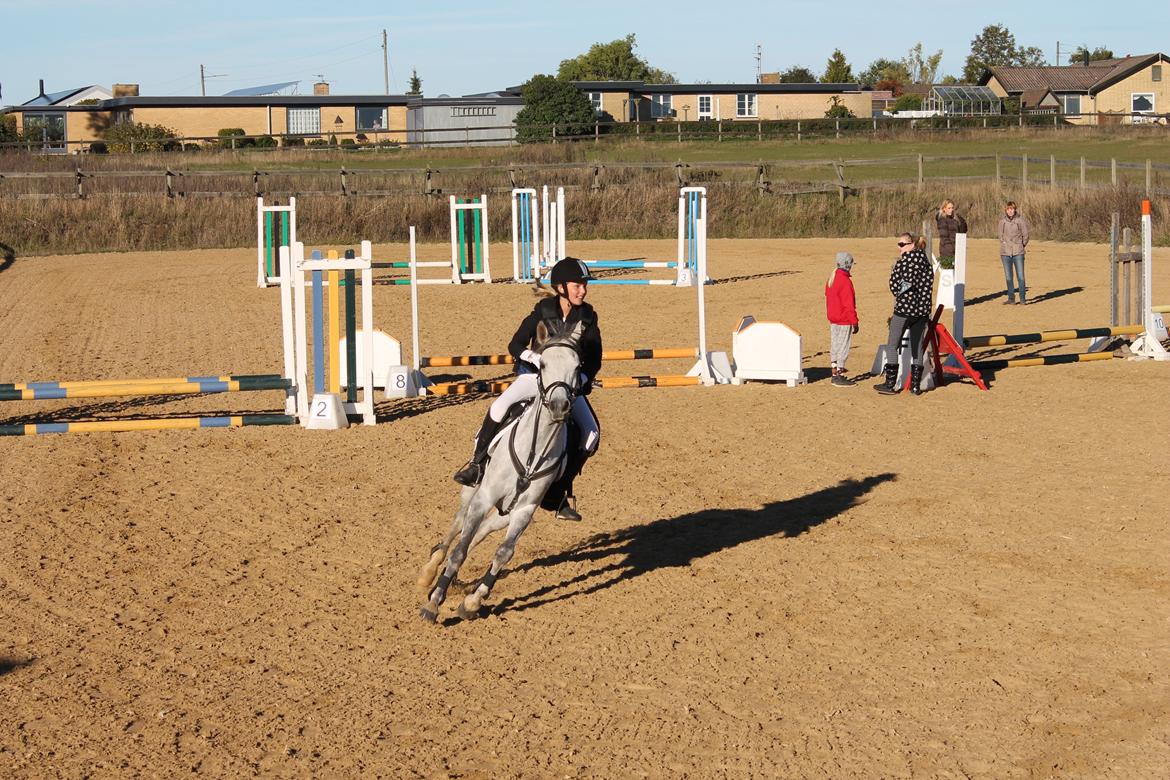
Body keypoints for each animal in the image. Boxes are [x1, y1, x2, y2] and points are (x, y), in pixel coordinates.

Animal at [421, 322, 585, 622]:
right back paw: (431, 570)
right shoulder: (484, 497)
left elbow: (503, 553)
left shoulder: (524, 511)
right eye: (543, 364)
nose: (559, 406)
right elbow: (459, 551)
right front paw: (434, 602)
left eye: (578, 365)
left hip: (503, 512)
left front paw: (472, 602)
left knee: (481, 531)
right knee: (459, 526)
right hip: (473, 492)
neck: (533, 450)